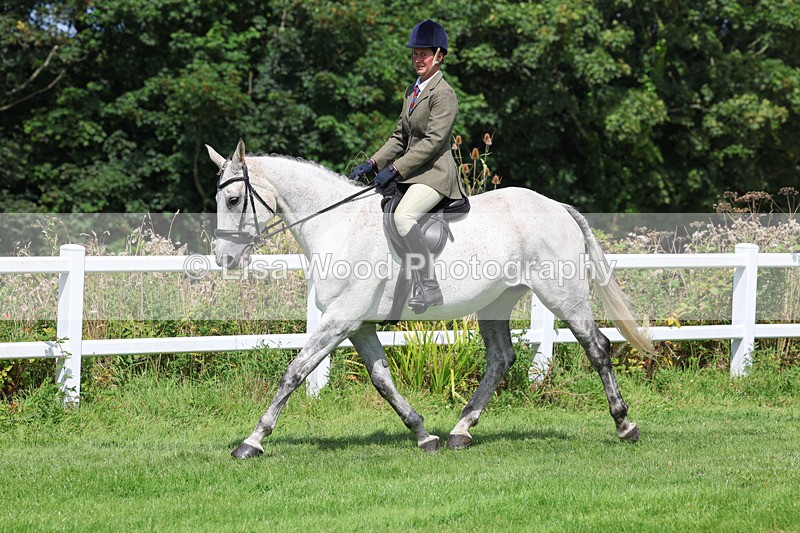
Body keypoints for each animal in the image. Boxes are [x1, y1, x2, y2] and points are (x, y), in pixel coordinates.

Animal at [207, 139, 652, 459]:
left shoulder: (340, 319)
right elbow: (382, 380)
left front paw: (252, 441)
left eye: (233, 200)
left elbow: (294, 373)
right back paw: (460, 431)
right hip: (495, 302)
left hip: (564, 295)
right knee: (501, 358)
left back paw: (624, 425)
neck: (338, 225)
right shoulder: (358, 325)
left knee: (597, 347)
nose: (224, 258)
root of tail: (556, 205)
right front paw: (423, 434)